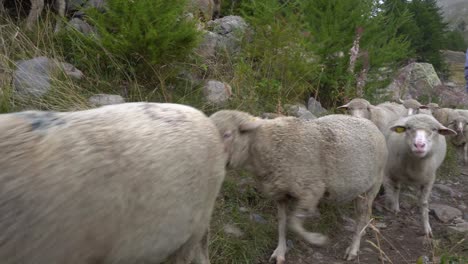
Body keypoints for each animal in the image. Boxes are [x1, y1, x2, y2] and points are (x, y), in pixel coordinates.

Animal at [210, 109, 390, 262]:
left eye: (227, 134)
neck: (271, 146)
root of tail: (372, 125)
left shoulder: (311, 191)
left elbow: (293, 224)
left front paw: (317, 239)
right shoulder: (281, 193)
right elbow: (282, 223)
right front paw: (280, 251)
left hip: (372, 186)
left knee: (361, 216)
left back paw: (353, 248)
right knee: (365, 214)